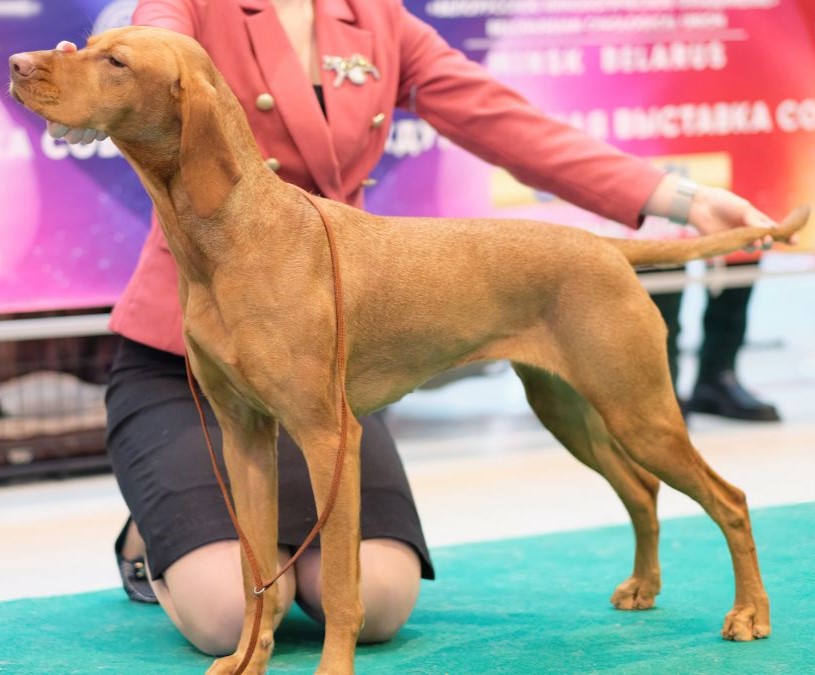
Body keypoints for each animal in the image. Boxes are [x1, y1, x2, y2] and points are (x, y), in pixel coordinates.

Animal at [11, 27, 808, 675]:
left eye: (115, 61)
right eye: (85, 45)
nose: (16, 64)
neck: (233, 236)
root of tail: (607, 246)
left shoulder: (329, 436)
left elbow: (340, 585)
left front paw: (331, 668)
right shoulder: (245, 437)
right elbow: (252, 572)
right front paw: (245, 660)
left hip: (638, 407)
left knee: (729, 499)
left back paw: (749, 614)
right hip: (570, 408)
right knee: (642, 492)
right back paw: (645, 587)